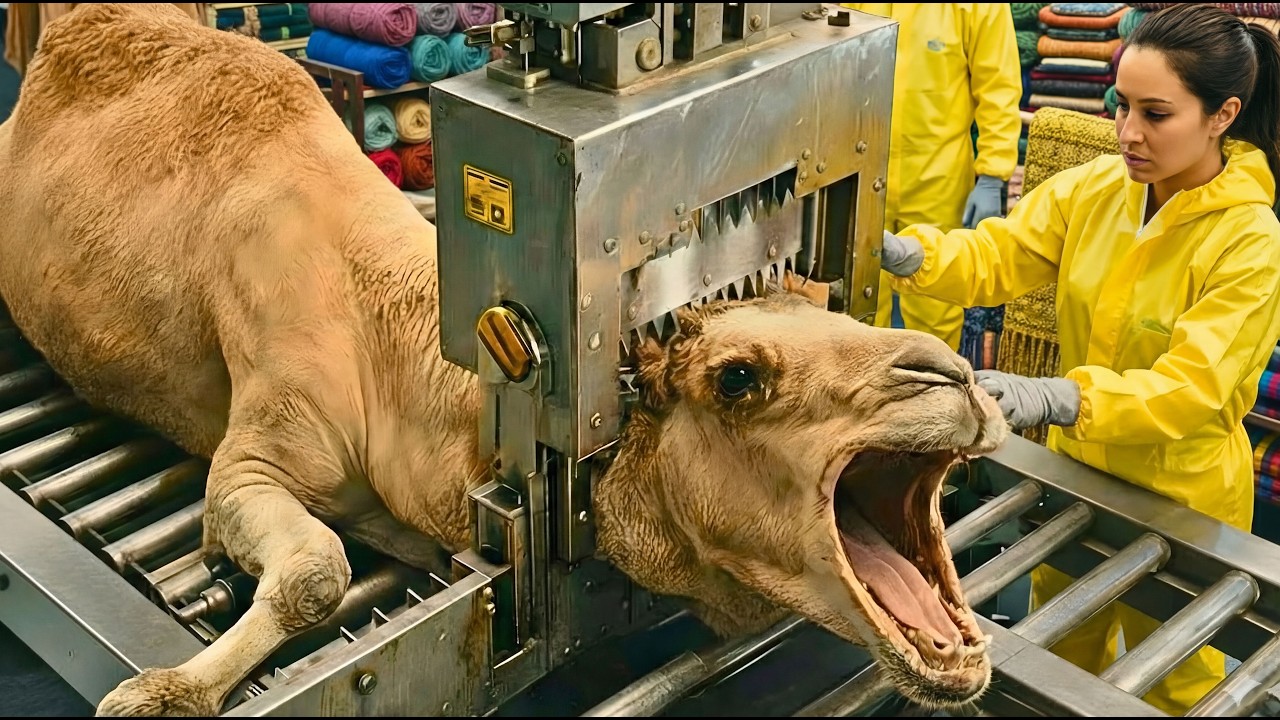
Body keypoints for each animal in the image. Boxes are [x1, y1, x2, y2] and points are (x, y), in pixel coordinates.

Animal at [0, 4, 1009, 716]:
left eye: (821, 298)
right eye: (736, 377)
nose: (950, 376)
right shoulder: (258, 443)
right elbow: (318, 570)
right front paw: (158, 694)